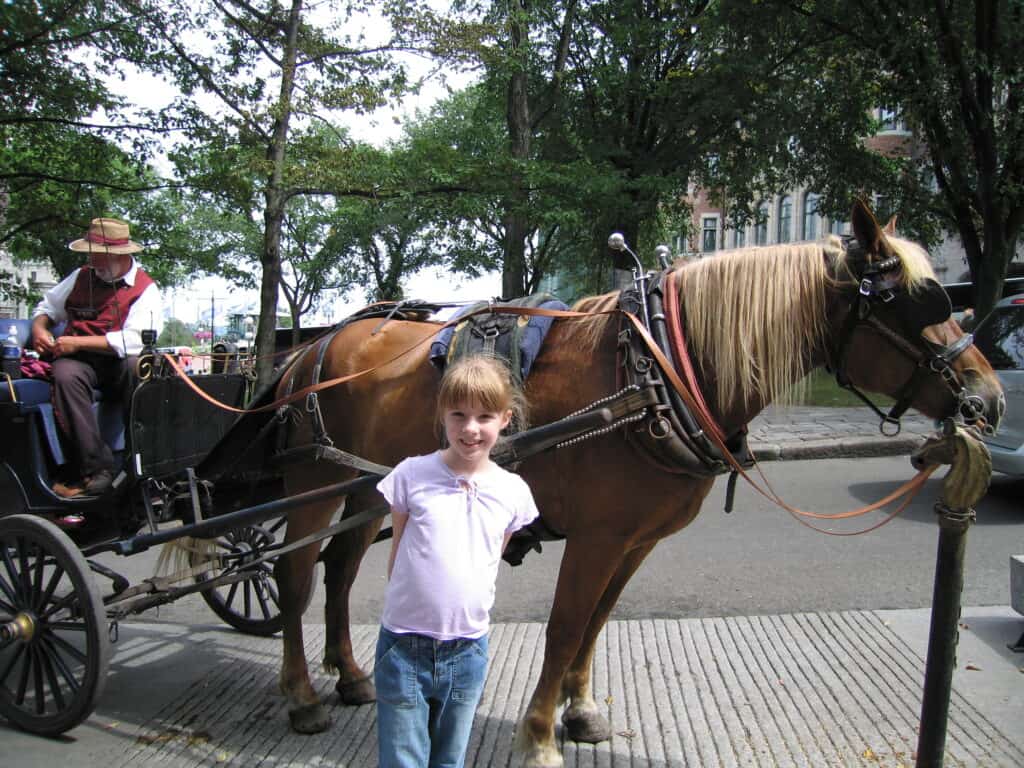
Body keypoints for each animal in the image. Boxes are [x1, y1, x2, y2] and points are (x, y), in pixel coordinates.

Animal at [270, 201, 999, 765]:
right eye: (911, 301)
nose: (988, 400)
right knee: (295, 576)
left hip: (367, 490)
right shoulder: (597, 537)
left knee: (340, 572)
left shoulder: (637, 539)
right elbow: (565, 626)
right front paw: (539, 736)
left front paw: (582, 710)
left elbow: (596, 623)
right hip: (311, 483)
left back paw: (351, 675)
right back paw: (302, 696)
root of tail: (312, 346)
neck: (657, 374)